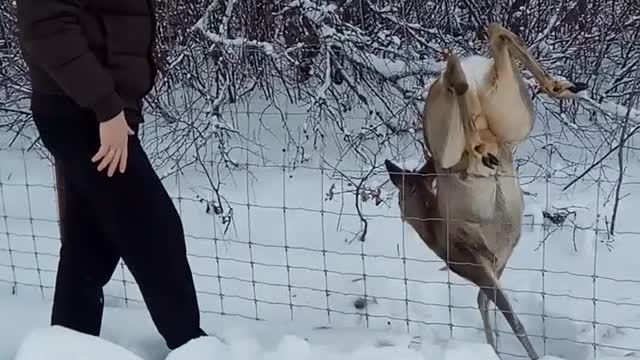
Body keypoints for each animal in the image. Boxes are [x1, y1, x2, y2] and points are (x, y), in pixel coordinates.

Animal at [382, 23, 588, 360]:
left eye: (401, 196)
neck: (434, 230)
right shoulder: (496, 263)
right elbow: (485, 305)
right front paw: (494, 348)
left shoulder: (476, 264)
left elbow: (509, 317)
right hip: (514, 114)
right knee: (496, 38)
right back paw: (563, 86)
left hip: (447, 142)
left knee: (460, 94)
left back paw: (479, 143)